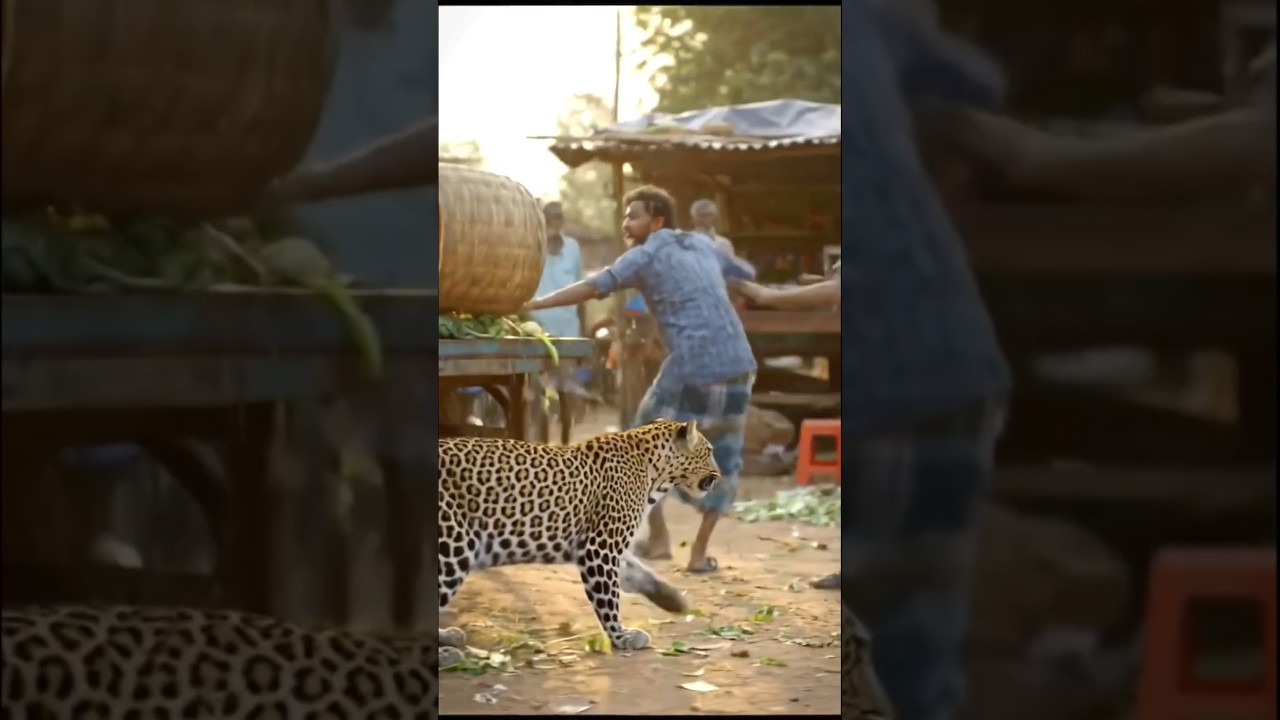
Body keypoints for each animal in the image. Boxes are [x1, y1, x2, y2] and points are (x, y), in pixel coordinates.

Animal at [437, 419, 719, 659]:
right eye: (709, 451)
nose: (718, 476)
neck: (654, 473)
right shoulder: (600, 546)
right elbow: (608, 596)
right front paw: (621, 636)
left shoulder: (605, 545)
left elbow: (638, 572)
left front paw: (674, 600)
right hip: (453, 546)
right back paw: (446, 653)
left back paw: (446, 637)